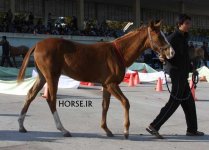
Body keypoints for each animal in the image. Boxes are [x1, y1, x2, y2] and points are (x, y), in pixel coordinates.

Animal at [17, 20, 175, 138]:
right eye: (159, 36)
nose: (171, 52)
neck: (118, 52)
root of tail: (37, 44)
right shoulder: (112, 84)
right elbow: (126, 102)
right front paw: (125, 130)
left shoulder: (106, 85)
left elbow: (105, 106)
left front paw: (106, 129)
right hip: (52, 76)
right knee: (51, 99)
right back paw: (63, 129)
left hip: (42, 77)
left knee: (30, 95)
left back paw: (21, 125)